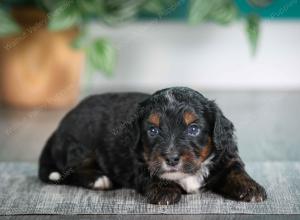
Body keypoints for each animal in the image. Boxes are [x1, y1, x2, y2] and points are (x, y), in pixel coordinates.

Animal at [38, 87, 266, 204]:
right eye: (153, 130)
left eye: (193, 129)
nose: (171, 159)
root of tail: (57, 130)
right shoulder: (140, 161)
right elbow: (151, 173)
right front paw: (164, 190)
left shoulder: (226, 155)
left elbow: (235, 170)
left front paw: (250, 187)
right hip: (81, 144)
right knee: (69, 171)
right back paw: (99, 179)